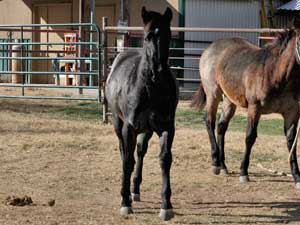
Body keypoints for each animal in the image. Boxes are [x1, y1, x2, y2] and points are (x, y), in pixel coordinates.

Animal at [105, 6, 178, 220]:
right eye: (147, 37)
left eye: (169, 35)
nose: (159, 70)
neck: (151, 89)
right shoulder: (128, 128)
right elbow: (128, 161)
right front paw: (125, 202)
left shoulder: (167, 127)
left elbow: (165, 159)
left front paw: (166, 205)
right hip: (118, 124)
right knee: (125, 154)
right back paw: (128, 193)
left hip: (146, 130)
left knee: (140, 151)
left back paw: (135, 189)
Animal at [193, 25, 300, 188]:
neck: (275, 73)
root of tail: (210, 48)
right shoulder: (254, 107)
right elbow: (250, 137)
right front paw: (243, 172)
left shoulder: (292, 113)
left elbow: (291, 142)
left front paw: (297, 177)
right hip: (213, 94)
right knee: (209, 122)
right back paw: (215, 163)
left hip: (229, 100)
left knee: (221, 126)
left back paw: (223, 166)